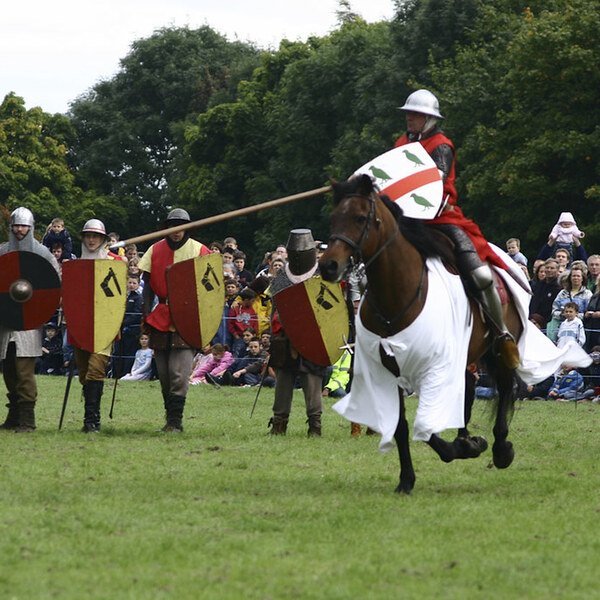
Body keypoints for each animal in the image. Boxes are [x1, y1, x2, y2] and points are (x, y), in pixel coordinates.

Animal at [322, 173, 524, 492]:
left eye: (359, 217)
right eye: (334, 218)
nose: (329, 266)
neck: (398, 294)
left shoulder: (433, 366)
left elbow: (424, 425)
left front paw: (463, 448)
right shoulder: (390, 371)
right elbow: (403, 427)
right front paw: (407, 479)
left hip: (496, 347)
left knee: (504, 387)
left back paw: (501, 449)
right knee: (468, 386)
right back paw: (465, 437)